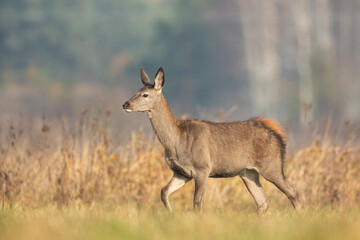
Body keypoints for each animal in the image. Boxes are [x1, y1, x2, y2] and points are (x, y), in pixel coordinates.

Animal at [123, 67, 300, 214]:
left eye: (145, 94)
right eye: (137, 91)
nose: (125, 104)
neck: (176, 141)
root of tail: (278, 134)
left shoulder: (202, 167)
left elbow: (197, 202)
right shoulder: (181, 172)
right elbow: (163, 191)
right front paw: (170, 214)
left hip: (271, 164)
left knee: (293, 190)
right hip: (248, 172)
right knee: (263, 200)